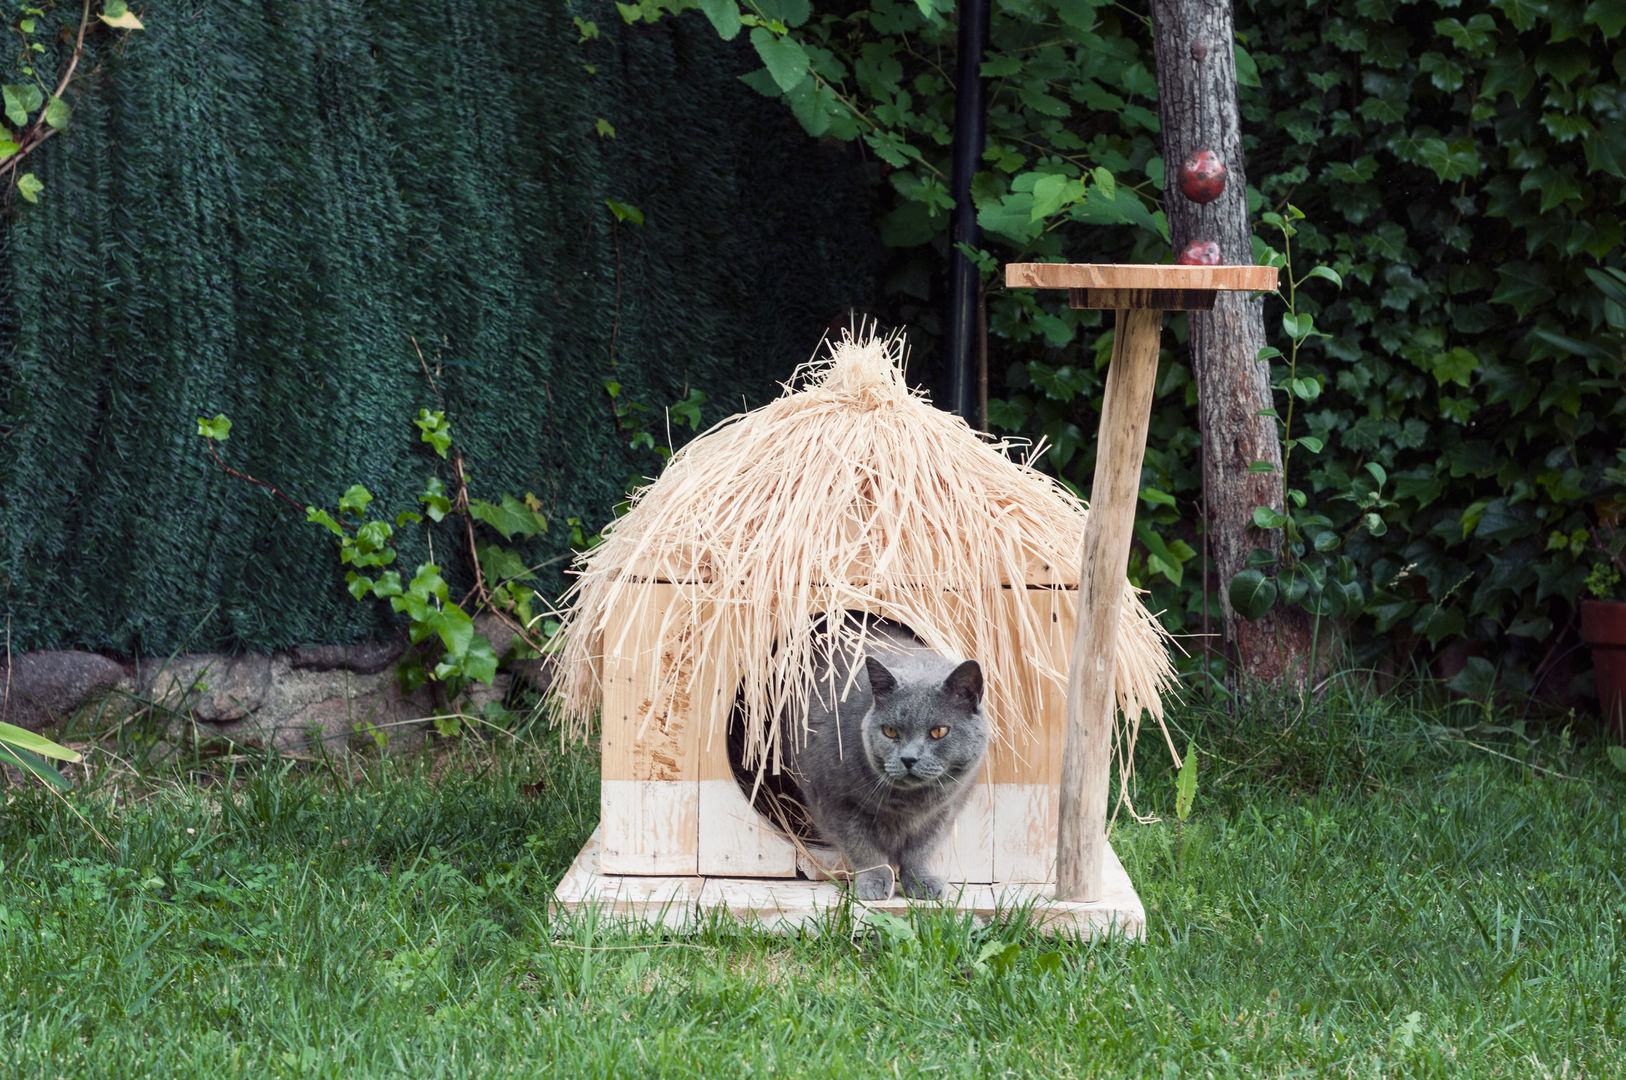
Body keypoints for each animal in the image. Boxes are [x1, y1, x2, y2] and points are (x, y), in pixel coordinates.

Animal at [780, 614, 982, 904]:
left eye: (939, 731)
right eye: (890, 731)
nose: (909, 758)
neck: (909, 805)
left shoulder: (944, 811)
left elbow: (920, 850)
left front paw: (921, 883)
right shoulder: (838, 803)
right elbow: (864, 849)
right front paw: (873, 883)